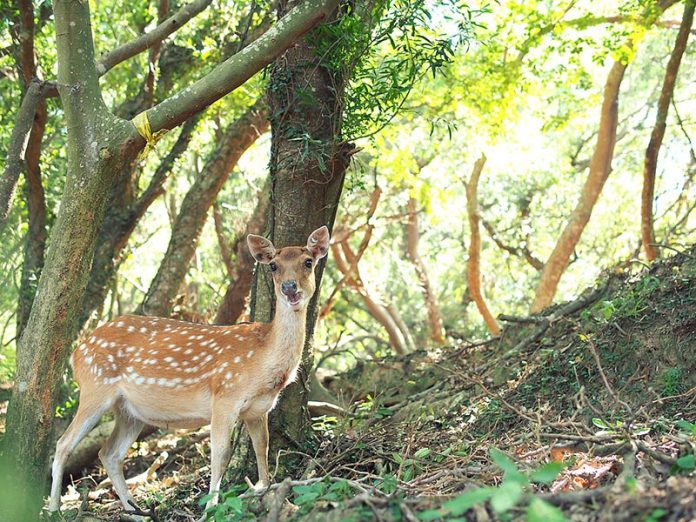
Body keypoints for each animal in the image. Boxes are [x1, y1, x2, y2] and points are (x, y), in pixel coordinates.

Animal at [49, 225, 332, 516]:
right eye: (274, 265)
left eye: (308, 262)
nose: (289, 287)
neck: (263, 363)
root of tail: (76, 354)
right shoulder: (225, 397)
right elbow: (220, 454)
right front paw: (210, 509)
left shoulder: (257, 410)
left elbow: (261, 449)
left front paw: (262, 491)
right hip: (95, 388)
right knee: (63, 444)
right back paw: (54, 509)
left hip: (129, 411)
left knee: (109, 453)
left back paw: (136, 512)